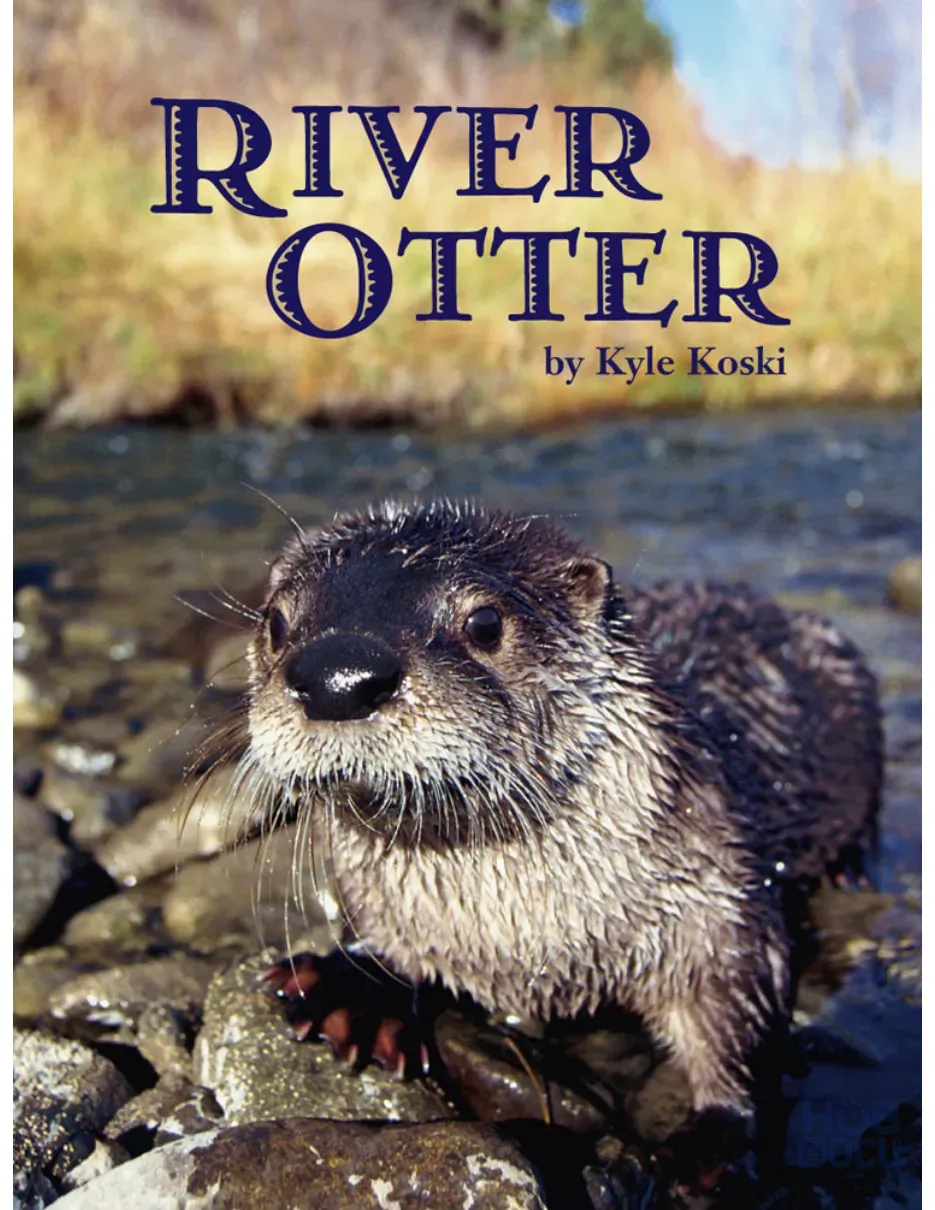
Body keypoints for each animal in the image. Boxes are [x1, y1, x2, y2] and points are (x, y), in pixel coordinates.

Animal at [238, 500, 882, 1124]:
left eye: (485, 623)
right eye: (276, 622)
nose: (338, 675)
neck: (531, 945)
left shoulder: (722, 913)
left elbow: (738, 1042)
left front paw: (715, 1131)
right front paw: (352, 988)